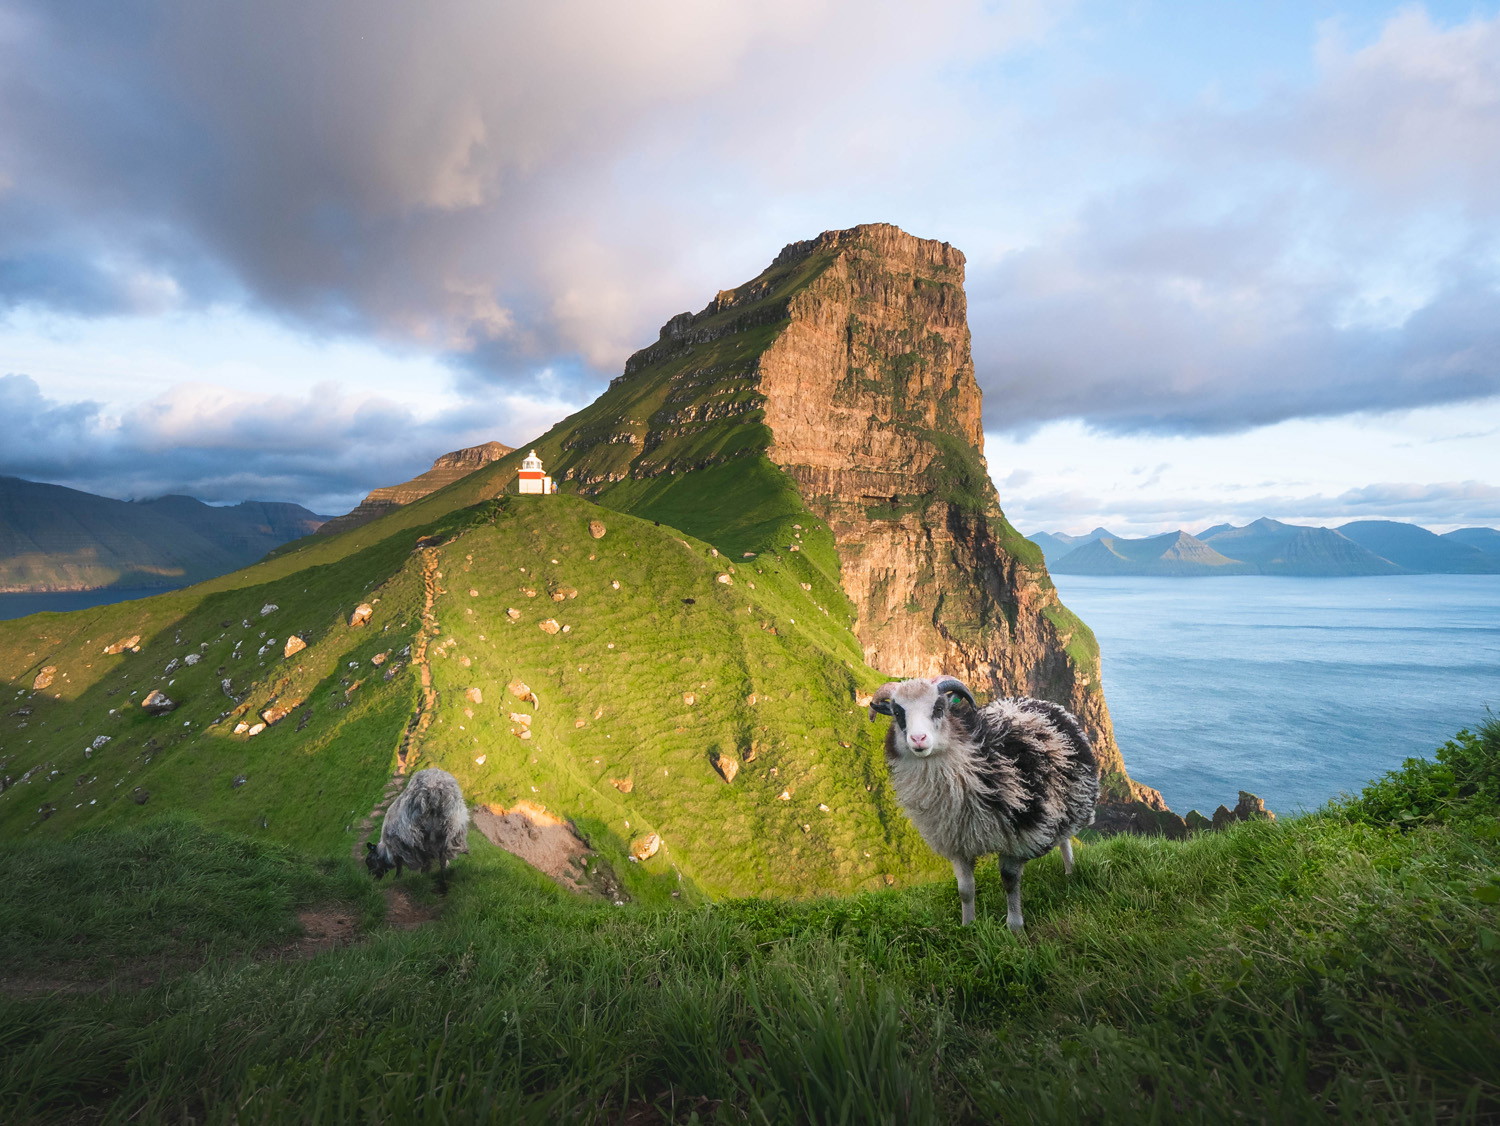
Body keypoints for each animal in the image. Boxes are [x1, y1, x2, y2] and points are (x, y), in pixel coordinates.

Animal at [870, 677, 1098, 931]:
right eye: (898, 713)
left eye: (939, 708)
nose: (918, 739)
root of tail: (1038, 701)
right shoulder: (956, 841)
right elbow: (965, 889)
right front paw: (968, 925)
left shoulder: (1018, 836)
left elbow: (1009, 881)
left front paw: (1014, 926)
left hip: (1068, 799)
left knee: (1065, 839)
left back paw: (1070, 871)